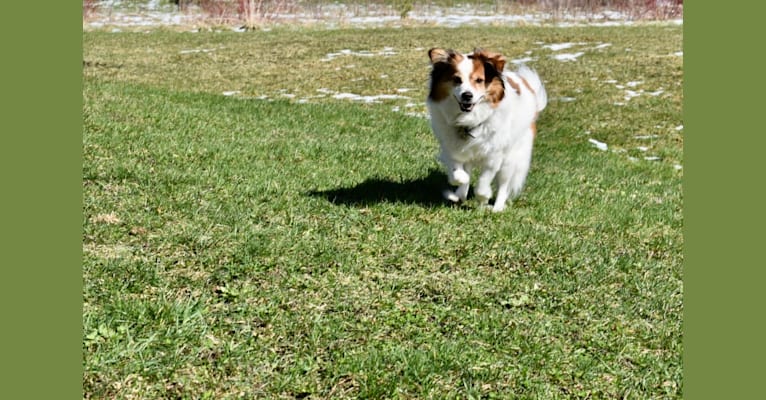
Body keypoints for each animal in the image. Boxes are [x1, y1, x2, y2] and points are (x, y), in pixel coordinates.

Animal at [426, 47, 544, 212]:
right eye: (457, 79)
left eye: (479, 80)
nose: (467, 95)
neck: (469, 121)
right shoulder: (453, 150)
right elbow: (457, 174)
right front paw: (459, 187)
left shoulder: (494, 157)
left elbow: (482, 186)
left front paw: (484, 200)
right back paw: (459, 195)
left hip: (510, 159)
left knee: (503, 186)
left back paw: (497, 208)